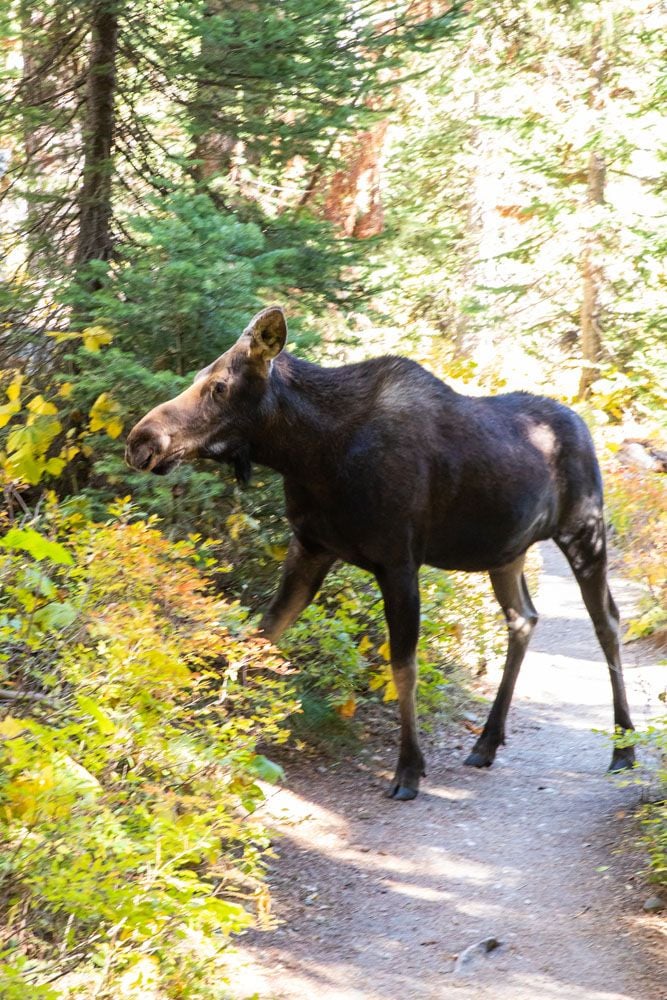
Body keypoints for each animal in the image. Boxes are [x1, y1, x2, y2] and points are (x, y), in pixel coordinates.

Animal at [126, 308, 636, 800]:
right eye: (199, 375)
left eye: (219, 386)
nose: (141, 440)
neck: (309, 455)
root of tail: (586, 428)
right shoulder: (310, 547)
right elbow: (261, 635)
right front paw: (217, 734)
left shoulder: (398, 562)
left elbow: (403, 667)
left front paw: (409, 769)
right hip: (505, 553)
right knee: (524, 618)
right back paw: (487, 741)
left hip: (585, 531)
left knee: (607, 622)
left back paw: (624, 748)